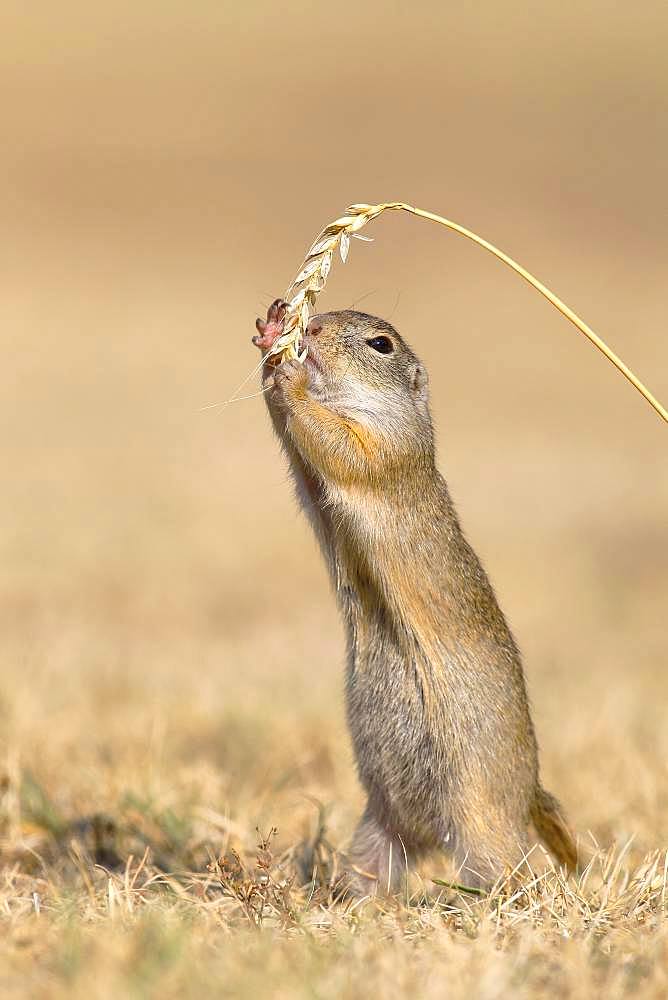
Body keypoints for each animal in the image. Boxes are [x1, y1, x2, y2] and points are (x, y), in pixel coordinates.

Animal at [253, 298, 576, 900]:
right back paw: (349, 901)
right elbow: (302, 458)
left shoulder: (387, 446)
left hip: (483, 826)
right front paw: (272, 335)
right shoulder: (314, 477)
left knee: (509, 871)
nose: (314, 325)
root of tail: (529, 795)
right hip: (377, 830)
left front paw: (291, 374)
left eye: (381, 344)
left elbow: (339, 447)